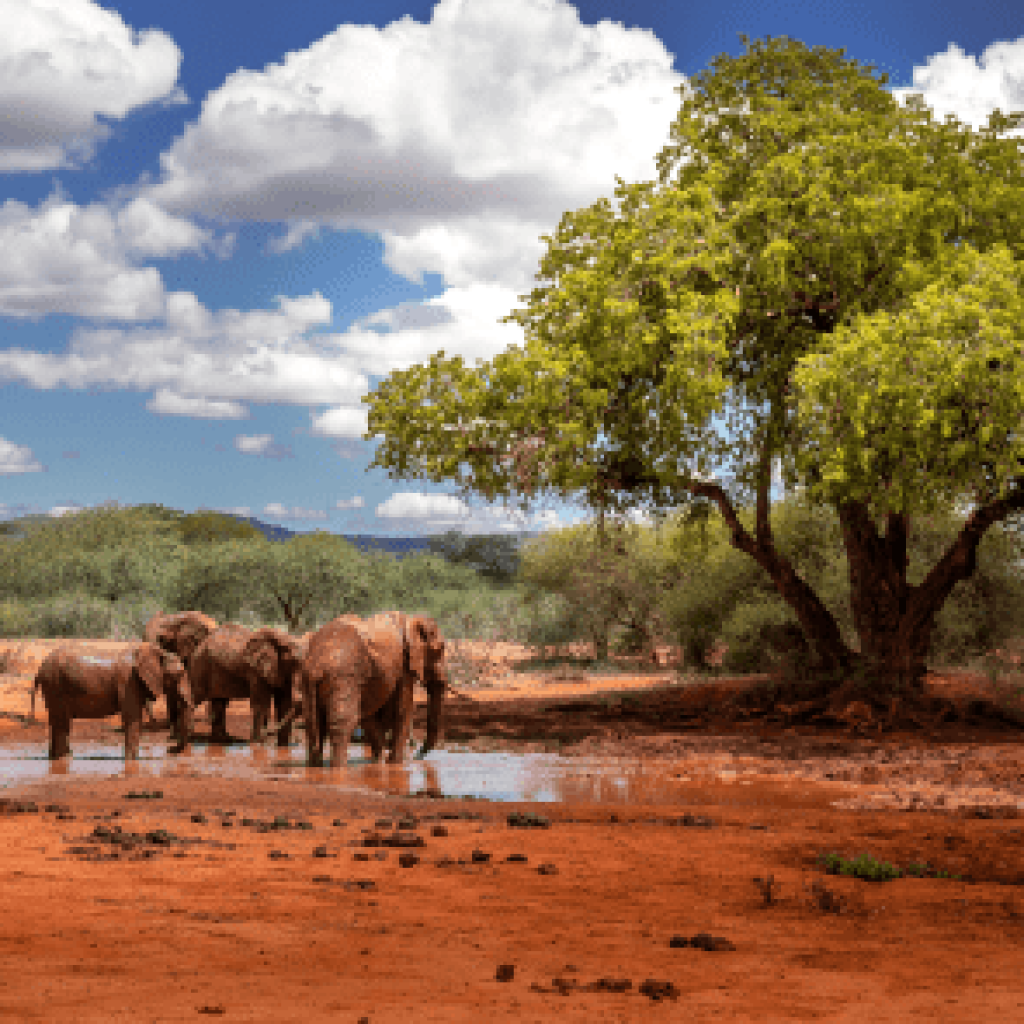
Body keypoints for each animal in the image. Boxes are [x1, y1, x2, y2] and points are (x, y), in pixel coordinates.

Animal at [32, 647, 195, 761]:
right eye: (180, 674)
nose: (171, 750)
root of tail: (39, 669)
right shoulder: (128, 682)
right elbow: (132, 718)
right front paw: (131, 761)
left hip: (53, 687)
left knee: (57, 721)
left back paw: (57, 758)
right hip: (55, 685)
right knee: (61, 722)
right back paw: (65, 758)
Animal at [272, 606, 448, 770]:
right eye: (440, 649)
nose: (417, 755)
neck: (410, 620)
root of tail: (316, 665)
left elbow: (370, 715)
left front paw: (379, 764)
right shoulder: (404, 666)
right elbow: (402, 711)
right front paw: (394, 765)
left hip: (308, 681)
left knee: (314, 723)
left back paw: (316, 768)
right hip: (343, 675)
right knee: (342, 723)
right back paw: (339, 770)